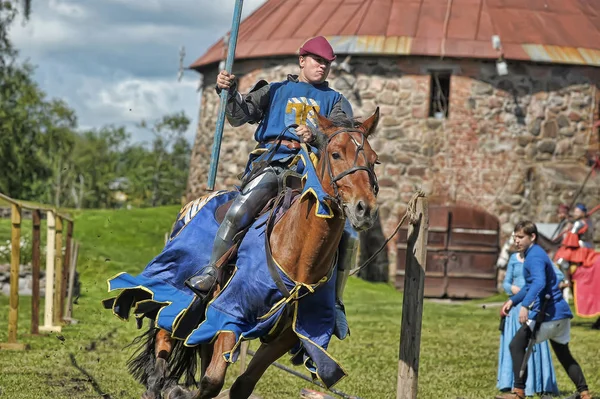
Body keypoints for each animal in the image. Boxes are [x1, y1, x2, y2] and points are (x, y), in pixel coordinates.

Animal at [139, 108, 380, 399]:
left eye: (375, 160)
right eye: (336, 154)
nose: (364, 209)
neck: (297, 254)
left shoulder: (288, 335)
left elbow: (242, 384)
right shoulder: (230, 314)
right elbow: (212, 381)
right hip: (179, 293)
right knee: (164, 336)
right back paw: (156, 384)